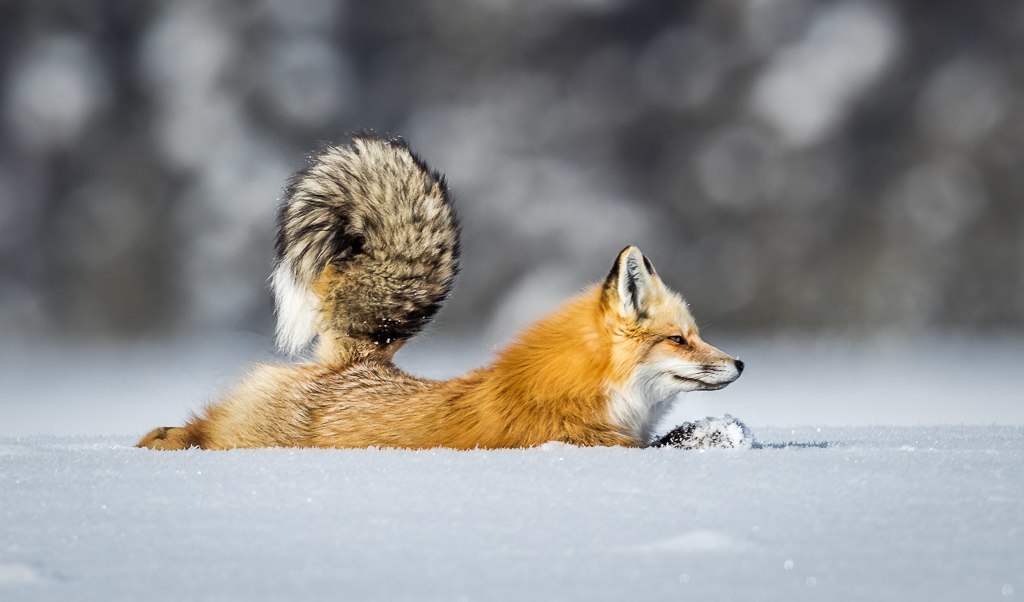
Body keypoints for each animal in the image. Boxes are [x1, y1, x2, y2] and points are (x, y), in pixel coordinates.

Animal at [138, 133, 745, 450]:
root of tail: (353, 362)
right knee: (199, 432)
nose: (740, 362)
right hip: (249, 438)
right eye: (679, 339)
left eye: (695, 333)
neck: (585, 392)